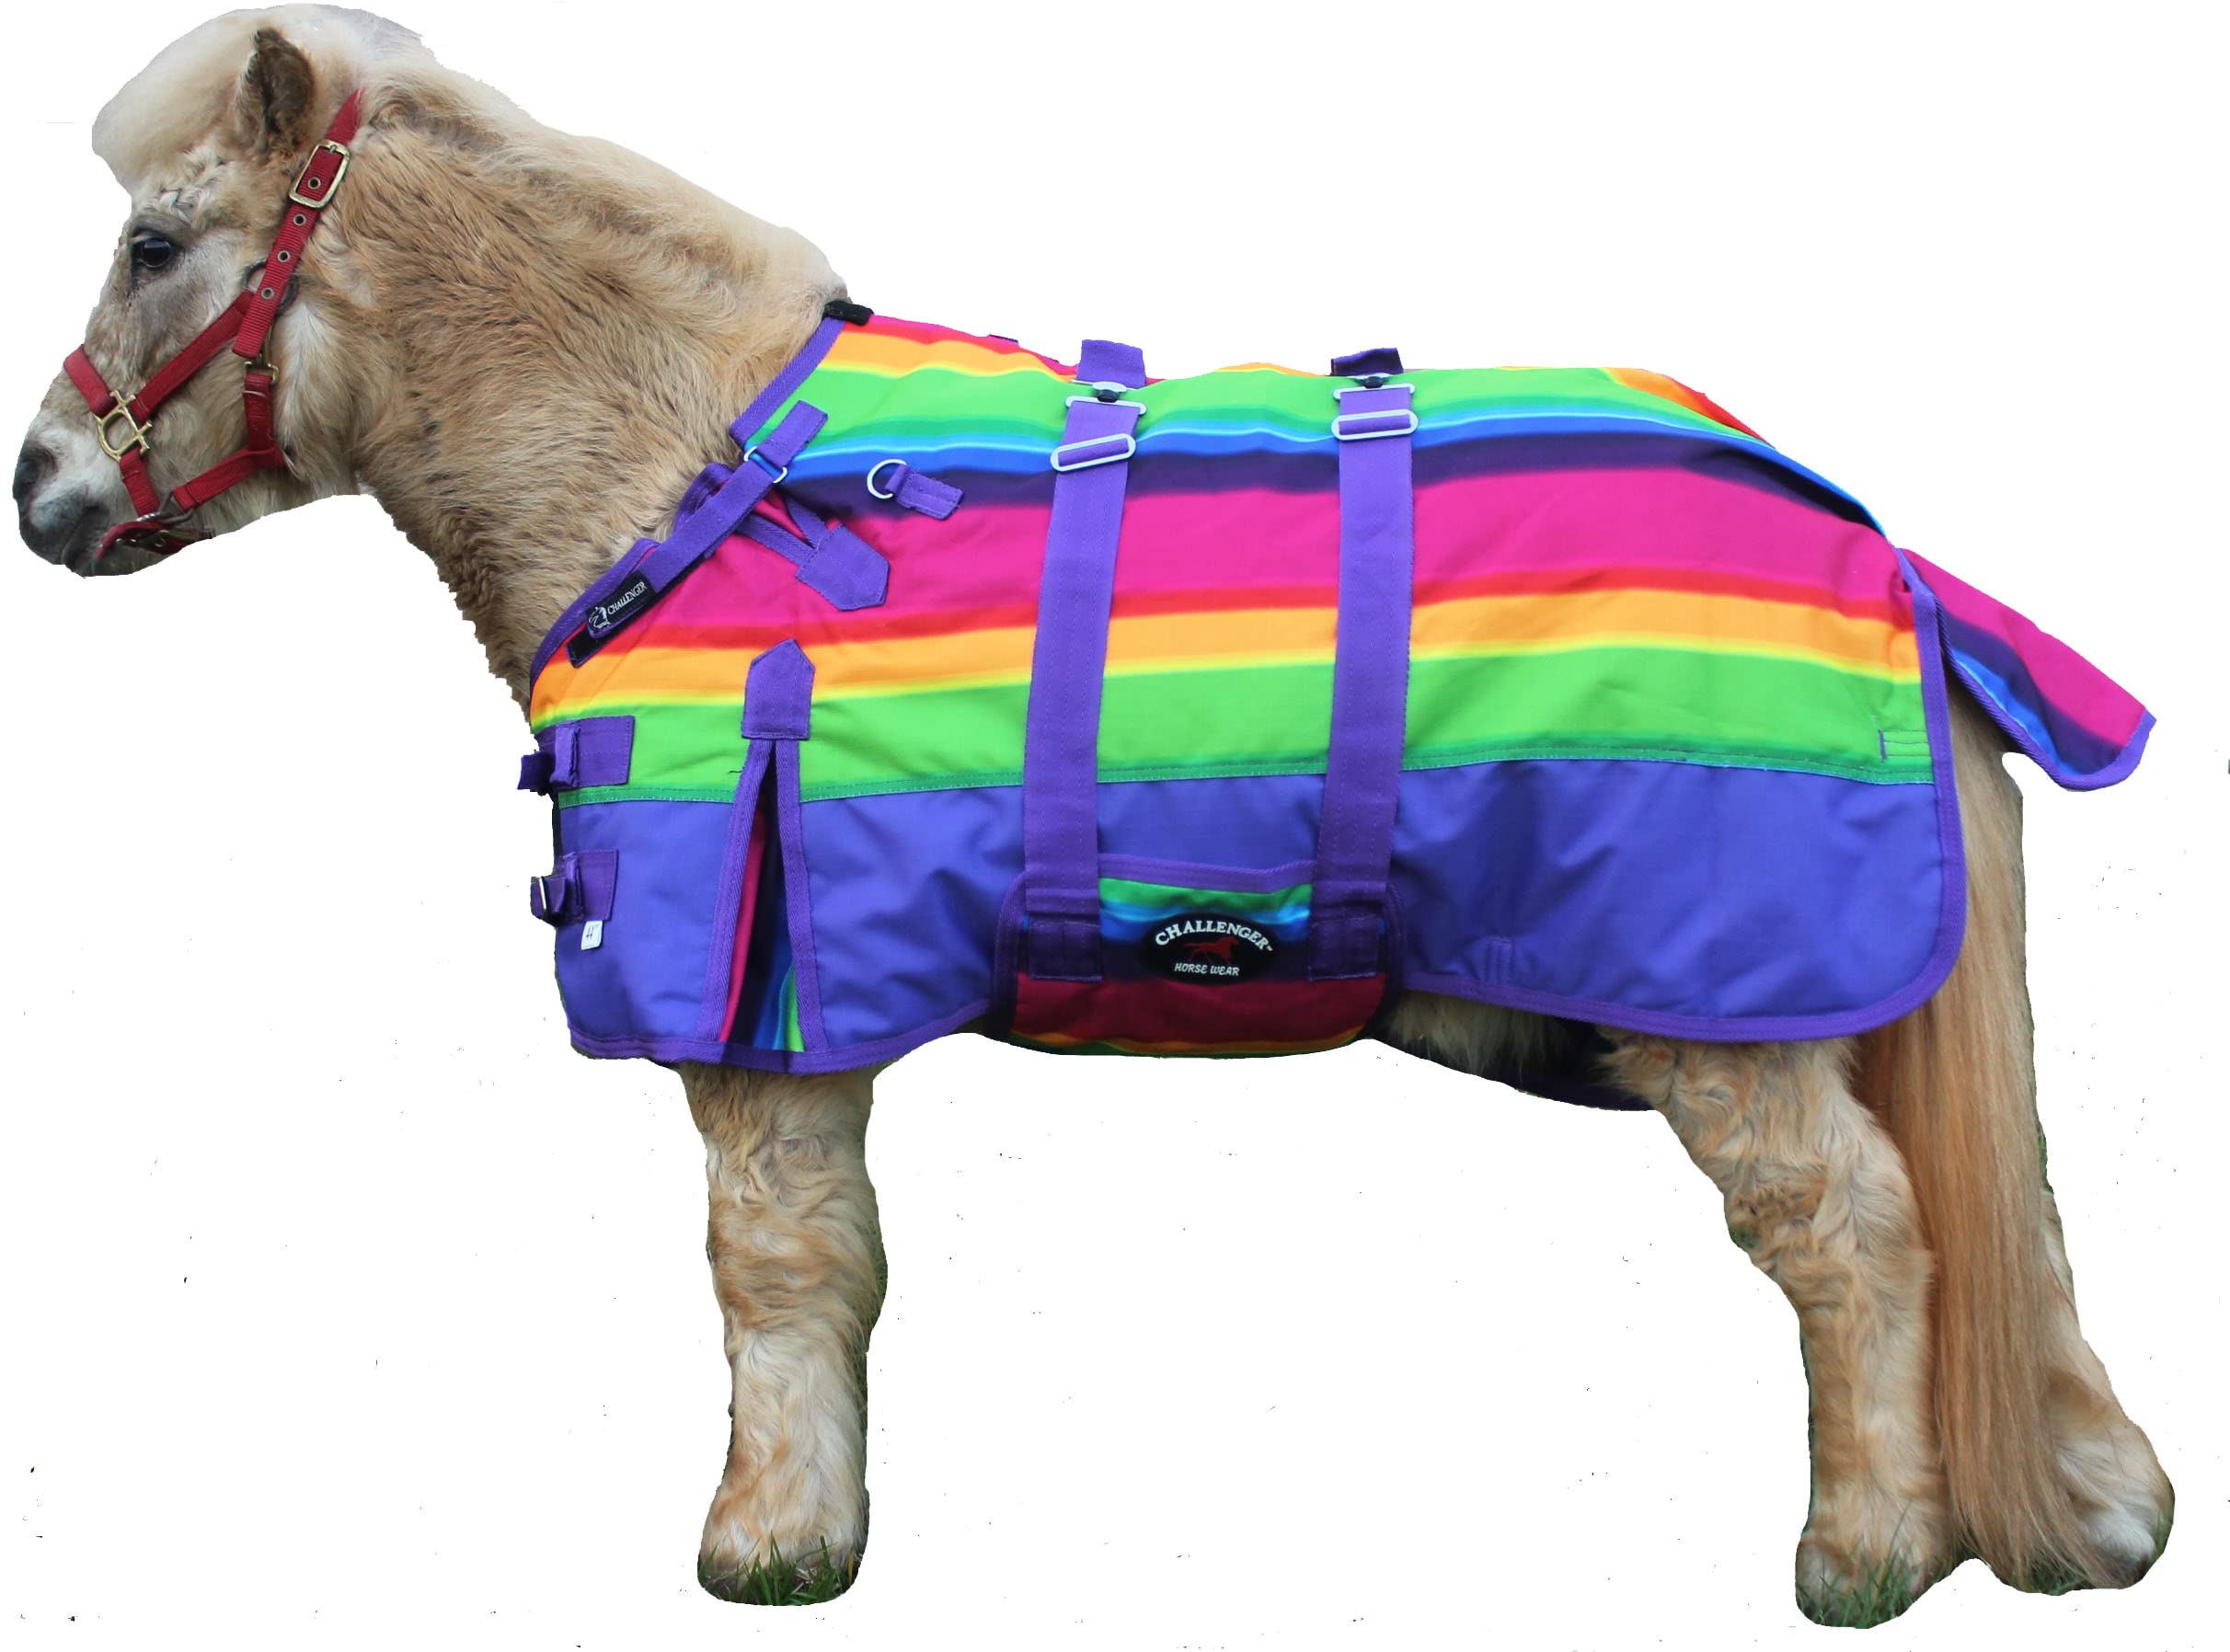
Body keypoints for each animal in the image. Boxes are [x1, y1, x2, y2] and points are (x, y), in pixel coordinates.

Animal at [11, 6, 2173, 1623]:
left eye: (153, 249)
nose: (39, 489)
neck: (691, 473)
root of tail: (1874, 547)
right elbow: (830, 1267)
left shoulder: (764, 1006)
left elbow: (780, 1269)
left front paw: (770, 1542)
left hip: (1728, 1008)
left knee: (1856, 1239)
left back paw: (1863, 1552)